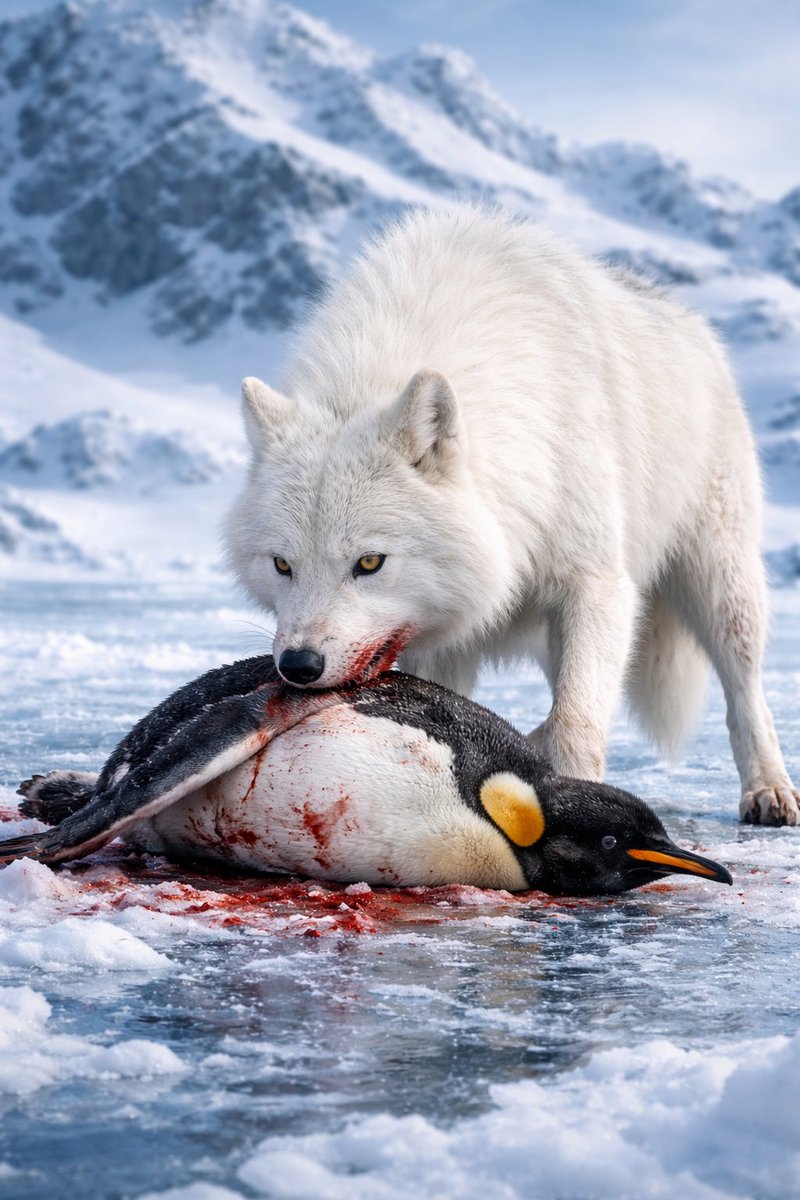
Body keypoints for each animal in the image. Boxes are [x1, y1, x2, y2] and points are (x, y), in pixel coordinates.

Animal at [225, 205, 798, 825]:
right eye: (282, 565)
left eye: (370, 563)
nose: (298, 665)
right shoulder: (442, 637)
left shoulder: (595, 586)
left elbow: (578, 721)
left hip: (720, 583)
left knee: (743, 691)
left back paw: (768, 789)